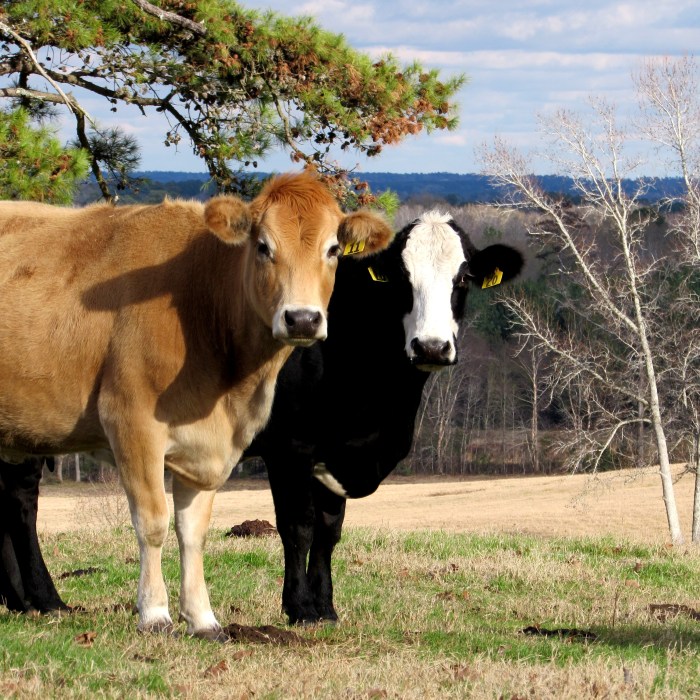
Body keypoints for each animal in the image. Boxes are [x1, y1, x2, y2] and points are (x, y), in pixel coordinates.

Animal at [246, 211, 524, 624]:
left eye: (462, 278)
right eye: (400, 278)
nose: (431, 347)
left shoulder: (337, 454)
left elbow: (329, 529)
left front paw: (325, 607)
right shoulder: (288, 448)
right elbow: (298, 526)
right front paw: (300, 608)